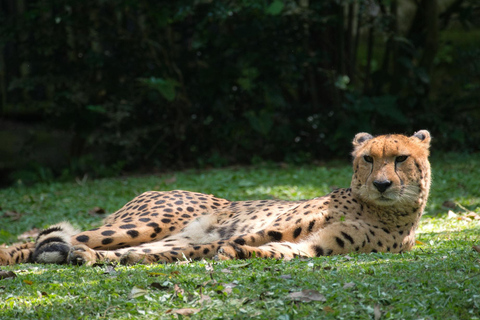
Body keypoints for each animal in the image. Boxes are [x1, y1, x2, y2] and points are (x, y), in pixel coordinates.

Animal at [0, 130, 432, 264]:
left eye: (400, 158)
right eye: (367, 158)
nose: (382, 184)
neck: (379, 211)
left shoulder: (315, 246)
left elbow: (282, 251)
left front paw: (239, 253)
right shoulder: (275, 226)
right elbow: (240, 240)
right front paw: (232, 250)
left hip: (160, 236)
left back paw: (89, 258)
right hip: (146, 223)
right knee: (32, 242)